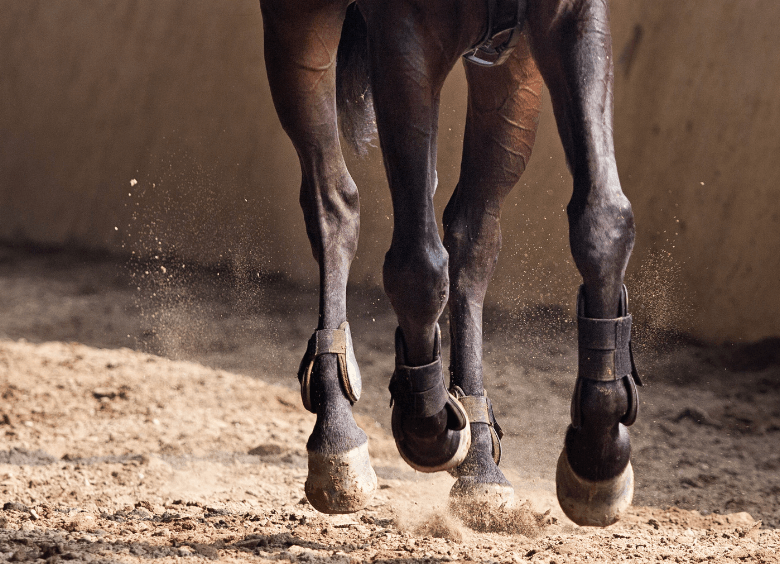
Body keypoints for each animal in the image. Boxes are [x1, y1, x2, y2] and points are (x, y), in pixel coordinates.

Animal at [259, 0, 641, 527]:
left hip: (510, 74)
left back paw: (480, 463)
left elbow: (603, 220)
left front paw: (599, 454)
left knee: (472, 237)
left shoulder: (566, 16)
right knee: (333, 204)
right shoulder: (404, 37)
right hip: (298, 23)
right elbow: (417, 266)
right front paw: (426, 424)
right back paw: (338, 439)